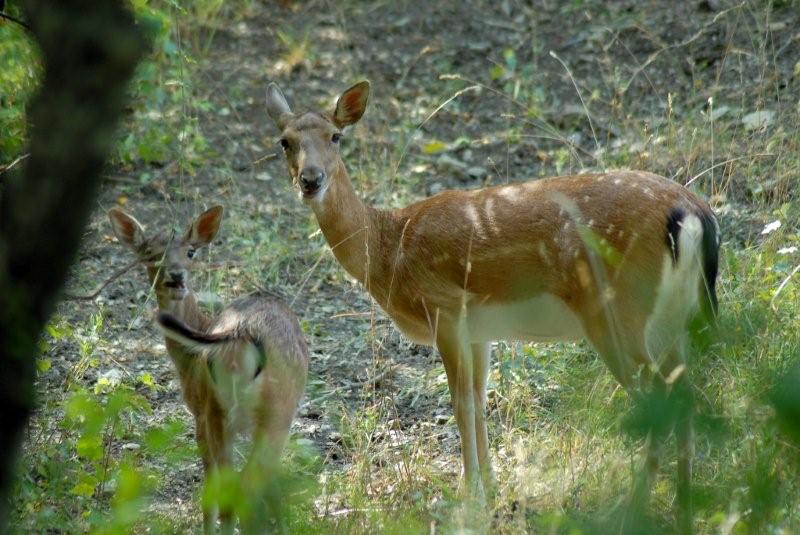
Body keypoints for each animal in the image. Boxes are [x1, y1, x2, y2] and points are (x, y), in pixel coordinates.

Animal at [106, 206, 306, 535]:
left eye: (191, 251)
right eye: (150, 254)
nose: (176, 276)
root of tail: (238, 333)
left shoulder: (202, 411)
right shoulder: (198, 413)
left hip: (221, 410)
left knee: (233, 486)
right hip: (275, 410)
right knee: (245, 484)